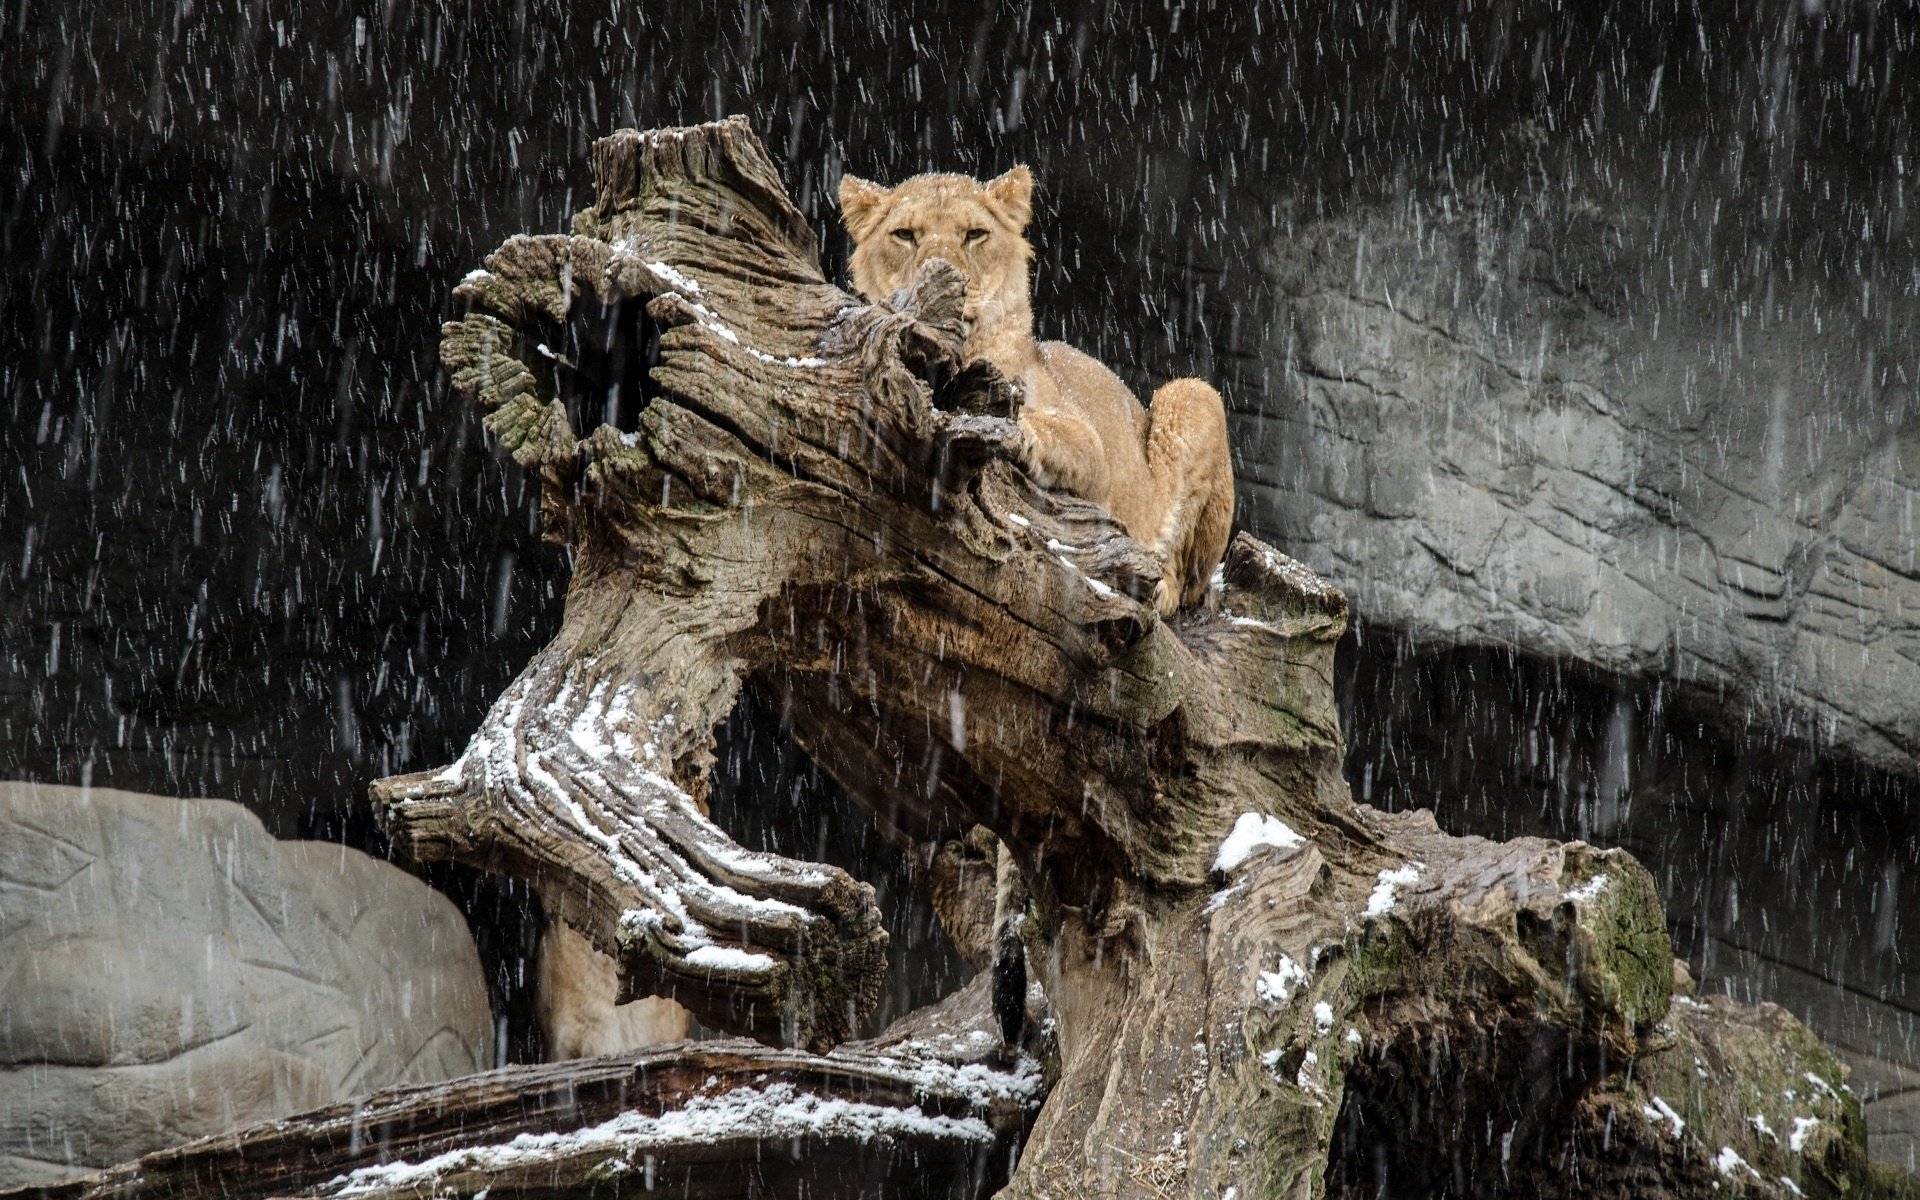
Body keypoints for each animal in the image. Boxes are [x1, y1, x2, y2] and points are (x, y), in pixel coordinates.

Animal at [838, 165, 1235, 614]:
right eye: (904, 234)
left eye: (975, 234)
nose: (947, 272)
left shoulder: (1092, 448)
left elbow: (1047, 424)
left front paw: (1004, 425)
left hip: (1193, 394)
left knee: (1185, 577)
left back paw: (1161, 588)